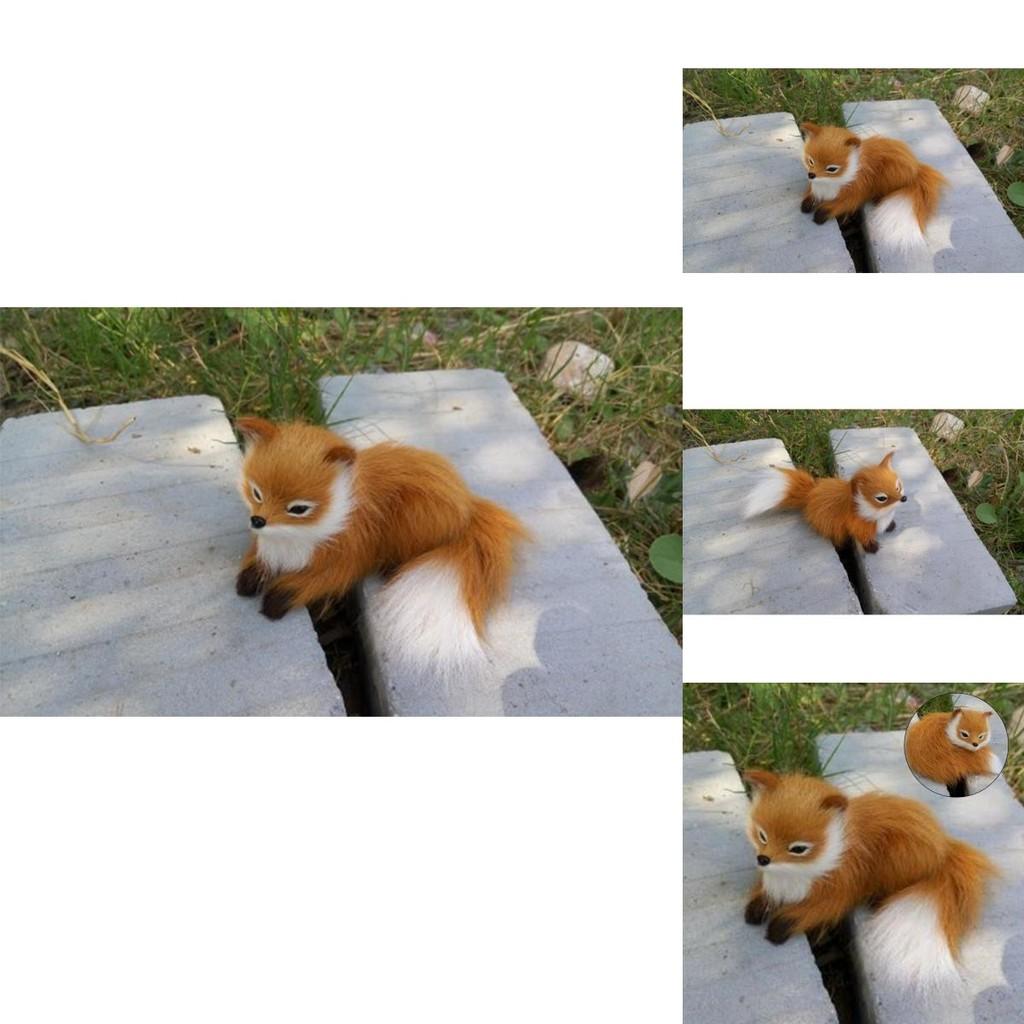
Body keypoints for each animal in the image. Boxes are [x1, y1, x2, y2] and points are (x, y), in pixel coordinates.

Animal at [234, 417, 529, 678]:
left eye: (298, 509)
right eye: (256, 493)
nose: (258, 520)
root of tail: (468, 508)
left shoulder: (347, 555)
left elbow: (314, 582)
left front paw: (274, 601)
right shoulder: (269, 545)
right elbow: (258, 562)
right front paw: (248, 581)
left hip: (413, 520)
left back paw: (391, 568)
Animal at [743, 451, 906, 553]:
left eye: (898, 487)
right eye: (881, 498)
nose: (903, 499)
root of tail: (810, 493)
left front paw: (891, 526)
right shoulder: (859, 525)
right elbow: (864, 537)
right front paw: (872, 548)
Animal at [743, 770, 996, 991]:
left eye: (798, 849)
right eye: (762, 835)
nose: (763, 859)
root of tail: (944, 849)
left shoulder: (838, 889)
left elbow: (811, 912)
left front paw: (777, 928)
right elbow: (764, 895)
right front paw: (756, 909)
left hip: (897, 859)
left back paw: (877, 900)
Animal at [800, 121, 947, 253]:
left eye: (832, 169)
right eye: (810, 161)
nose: (811, 175)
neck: (831, 182)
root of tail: (916, 170)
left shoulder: (856, 191)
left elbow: (841, 205)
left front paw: (820, 214)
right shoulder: (817, 187)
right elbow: (811, 195)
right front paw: (807, 204)